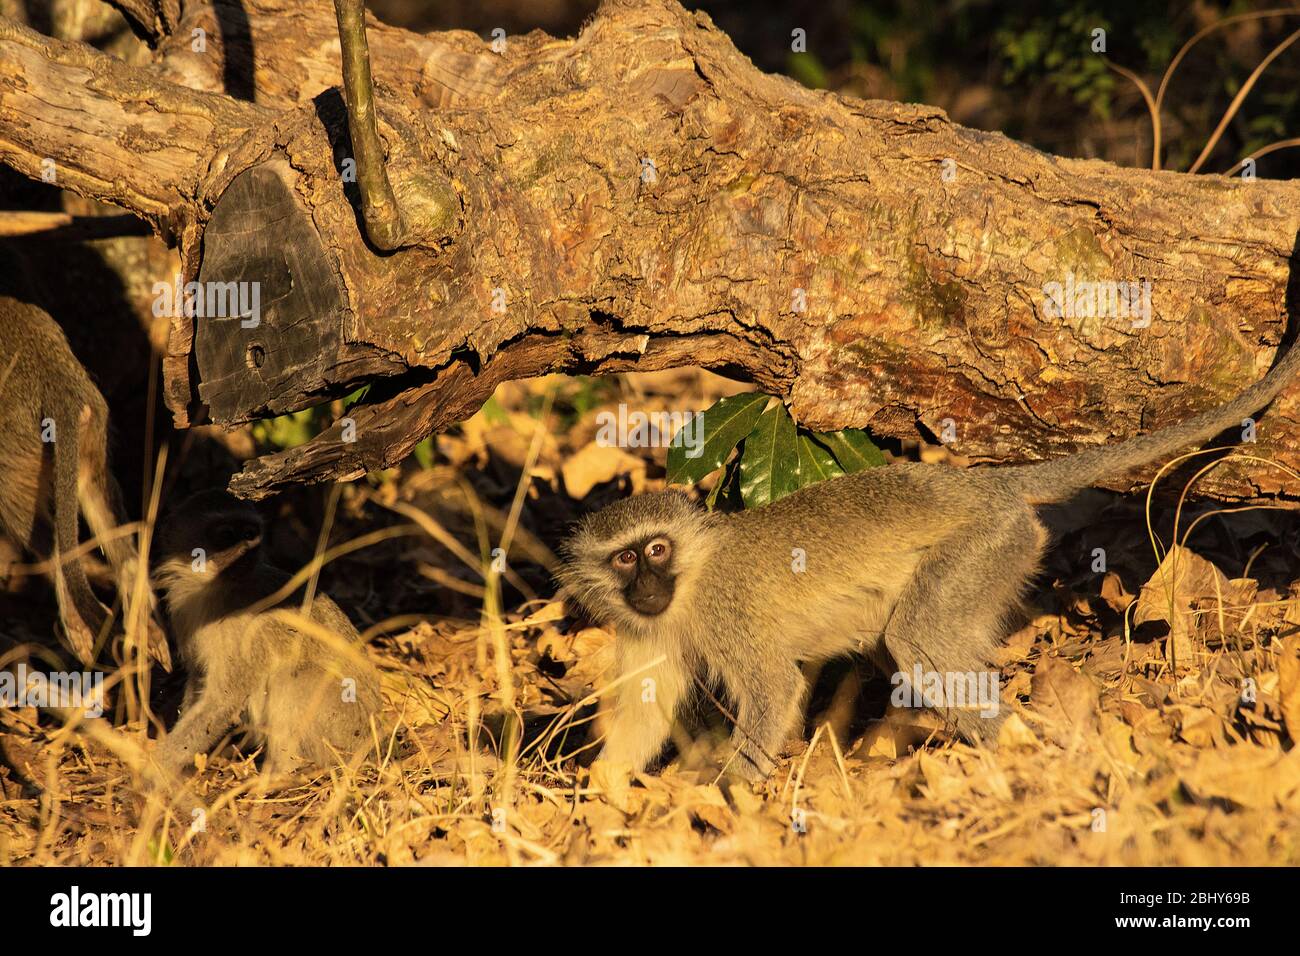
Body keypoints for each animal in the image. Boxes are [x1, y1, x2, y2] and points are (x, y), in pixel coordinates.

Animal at [0, 295, 167, 671]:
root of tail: (55, 382)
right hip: (92, 434)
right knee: (103, 508)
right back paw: (144, 625)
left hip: (11, 458)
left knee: (49, 542)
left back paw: (78, 626)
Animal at [149, 489, 379, 775]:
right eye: (227, 536)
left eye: (250, 534)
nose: (247, 552)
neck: (213, 590)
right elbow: (198, 681)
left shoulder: (241, 631)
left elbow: (222, 701)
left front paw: (153, 768)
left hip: (343, 730)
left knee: (292, 678)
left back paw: (280, 775)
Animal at [559, 332, 1300, 780]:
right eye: (626, 560)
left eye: (658, 549)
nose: (647, 586)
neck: (688, 584)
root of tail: (986, 485)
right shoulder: (648, 629)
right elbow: (644, 712)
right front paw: (604, 798)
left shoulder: (727, 613)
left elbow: (772, 691)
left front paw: (723, 799)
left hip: (985, 547)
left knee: (917, 635)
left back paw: (1015, 753)